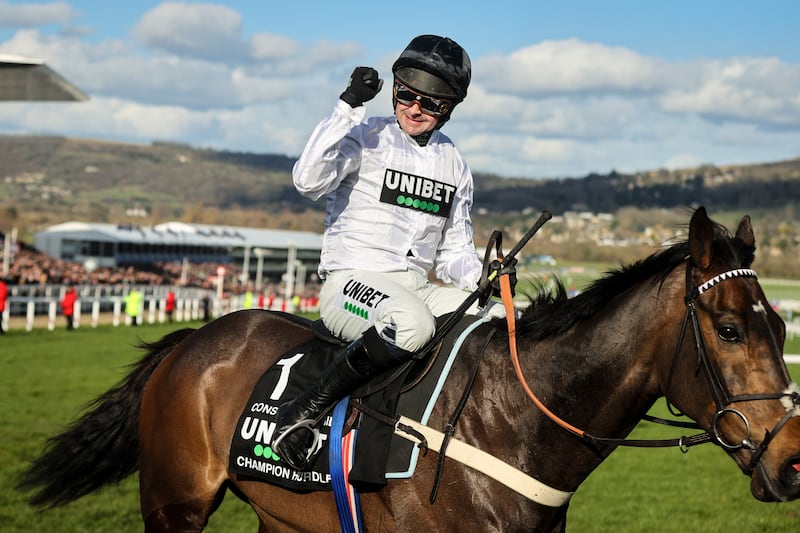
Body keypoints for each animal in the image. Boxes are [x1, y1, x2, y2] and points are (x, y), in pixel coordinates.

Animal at [17, 206, 800, 528]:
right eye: (729, 329)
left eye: (782, 326)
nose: (793, 462)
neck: (512, 421)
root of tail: (190, 340)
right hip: (173, 503)